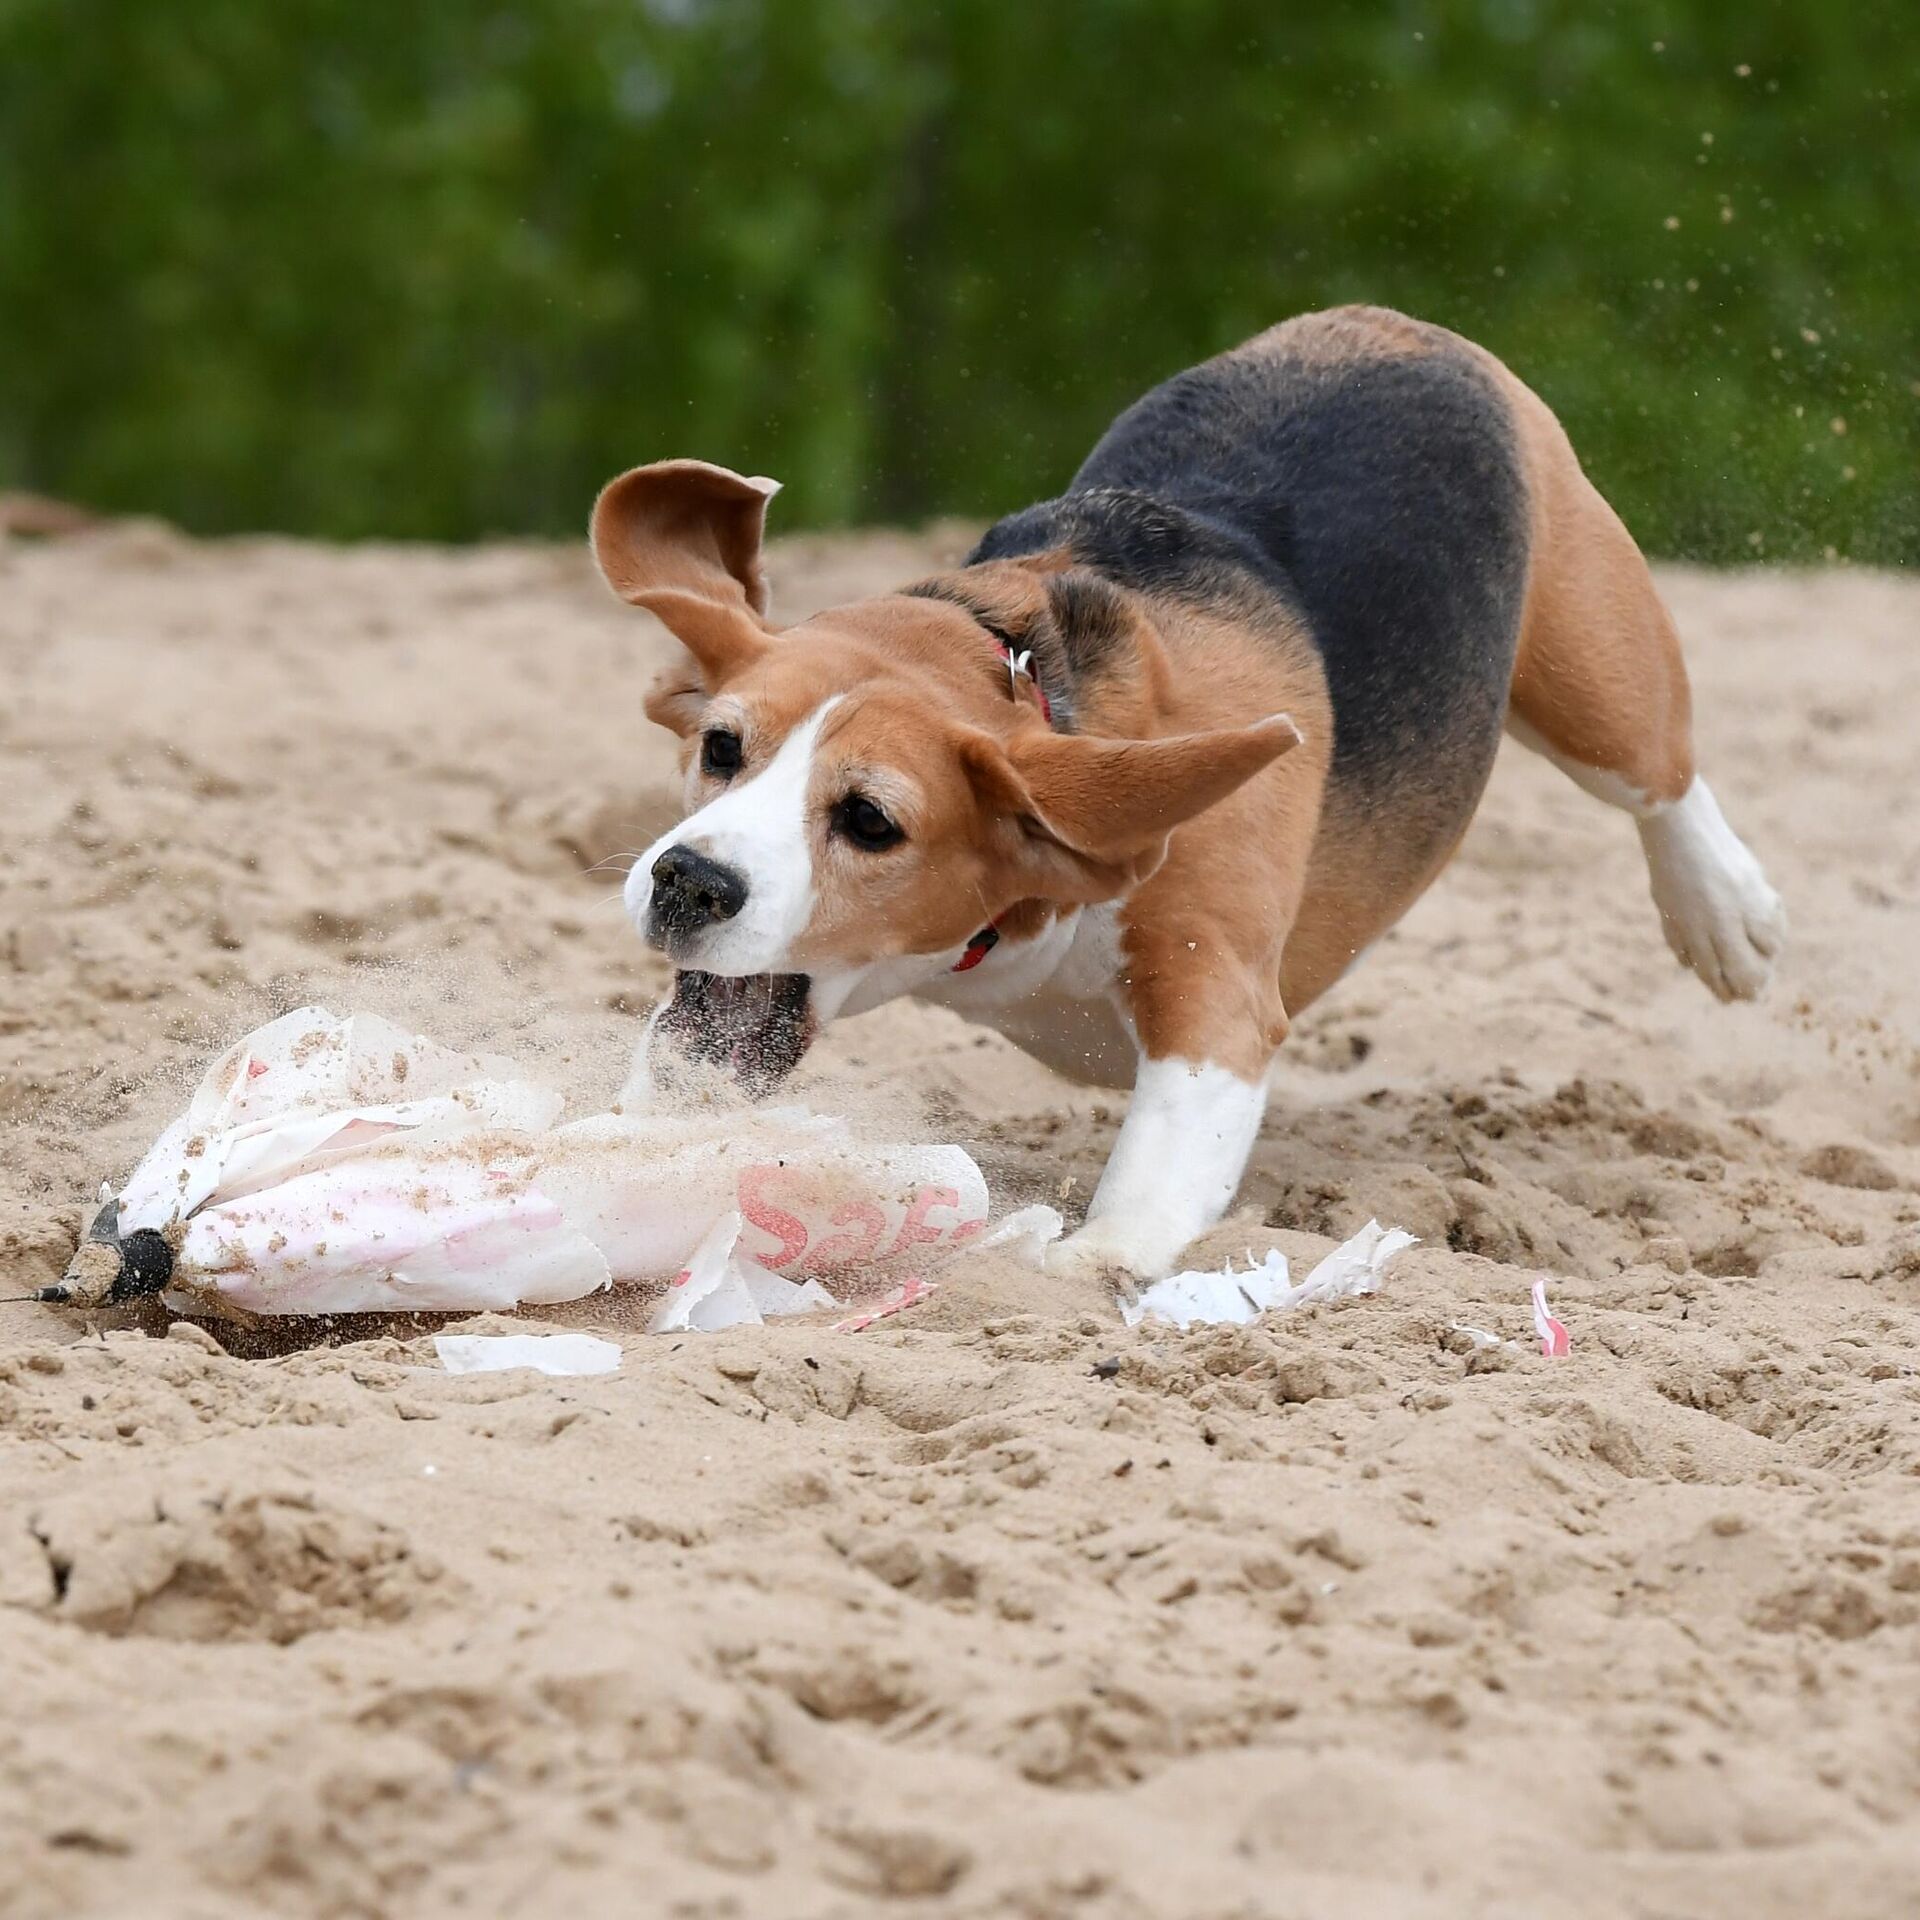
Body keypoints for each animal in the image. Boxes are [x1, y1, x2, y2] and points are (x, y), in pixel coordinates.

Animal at [587, 307, 1781, 1282]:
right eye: (723, 747)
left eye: (870, 821)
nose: (688, 881)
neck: (1040, 683)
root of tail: (1393, 325)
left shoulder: (1215, 986)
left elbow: (1157, 1161)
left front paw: (1097, 1253)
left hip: (1595, 673)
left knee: (1662, 779)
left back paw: (1725, 913)